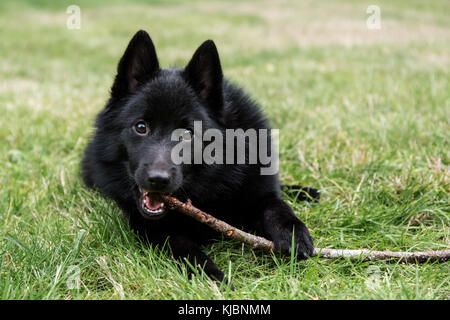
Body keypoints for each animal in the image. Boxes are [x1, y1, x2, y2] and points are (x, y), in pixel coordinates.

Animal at [83, 29, 316, 280]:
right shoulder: (157, 231)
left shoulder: (261, 192)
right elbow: (190, 254)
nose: (158, 179)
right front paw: (216, 279)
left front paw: (293, 233)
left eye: (187, 133)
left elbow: (276, 206)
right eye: (141, 127)